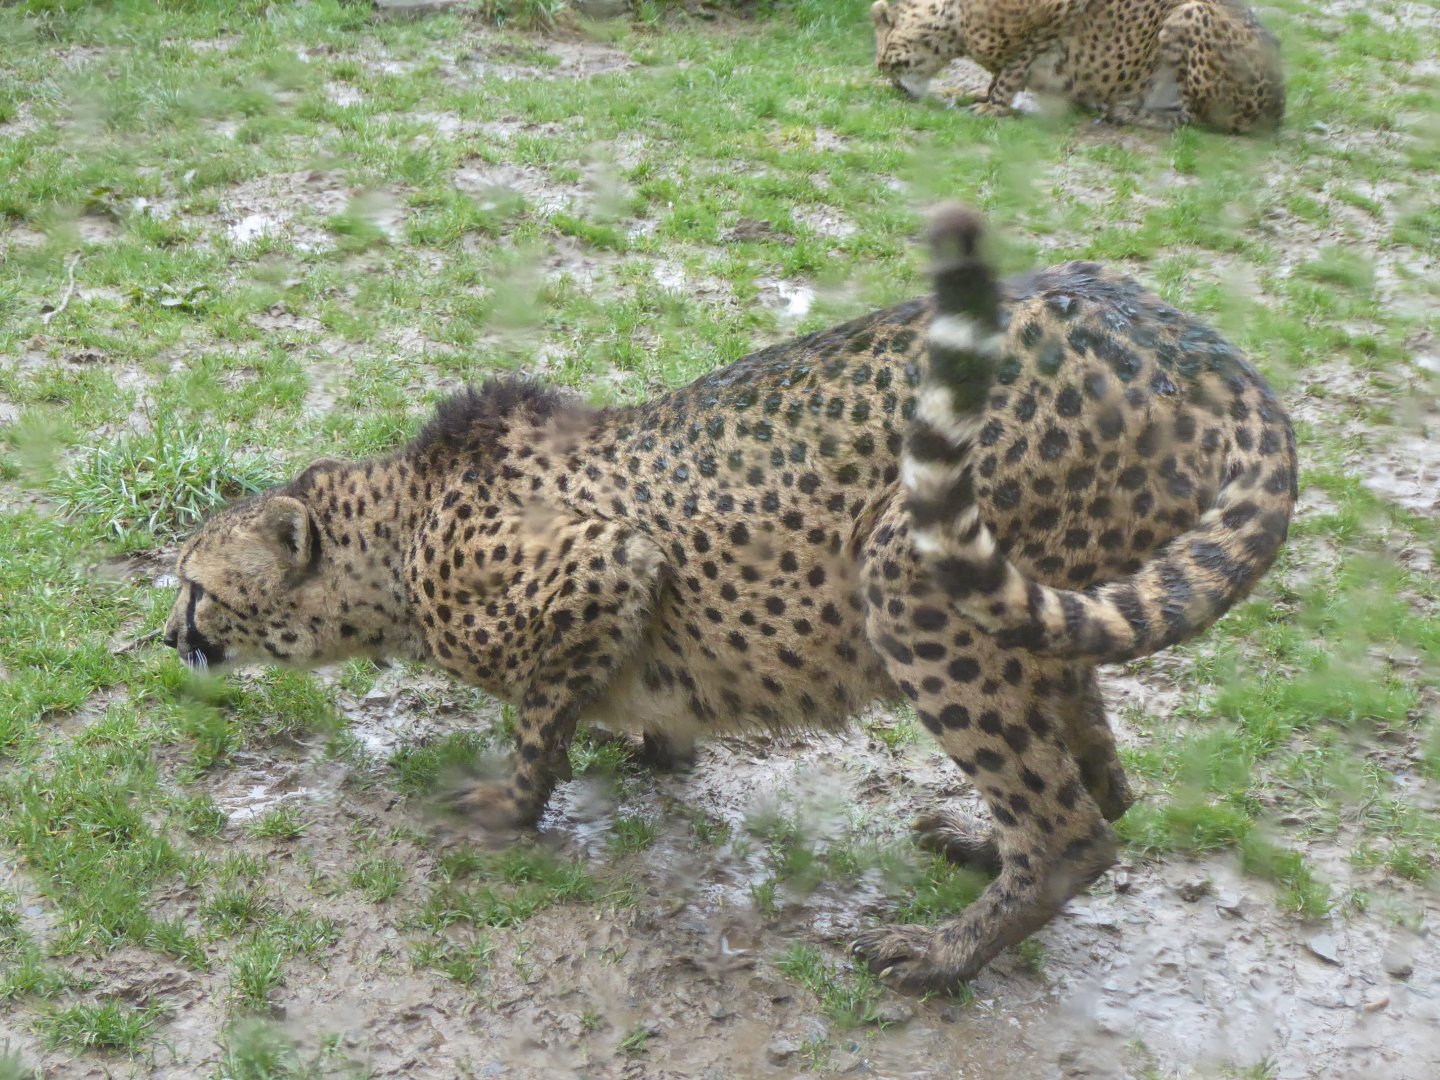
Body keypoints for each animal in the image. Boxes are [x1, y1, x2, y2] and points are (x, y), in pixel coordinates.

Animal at [164, 206, 1296, 990]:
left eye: (196, 587)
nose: (168, 636)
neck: (396, 536)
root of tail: (1183, 334)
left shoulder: (606, 561)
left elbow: (539, 714)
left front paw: (509, 804)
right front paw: (652, 744)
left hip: (917, 572)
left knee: (1071, 829)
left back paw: (941, 955)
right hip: (1048, 604)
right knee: (1101, 783)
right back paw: (982, 849)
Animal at [871, 0, 1286, 133]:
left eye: (886, 64)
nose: (895, 88)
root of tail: (1278, 108)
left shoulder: (1053, 18)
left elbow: (1014, 66)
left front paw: (995, 105)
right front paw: (983, 94)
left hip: (1192, 11)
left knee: (1193, 117)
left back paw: (1130, 113)